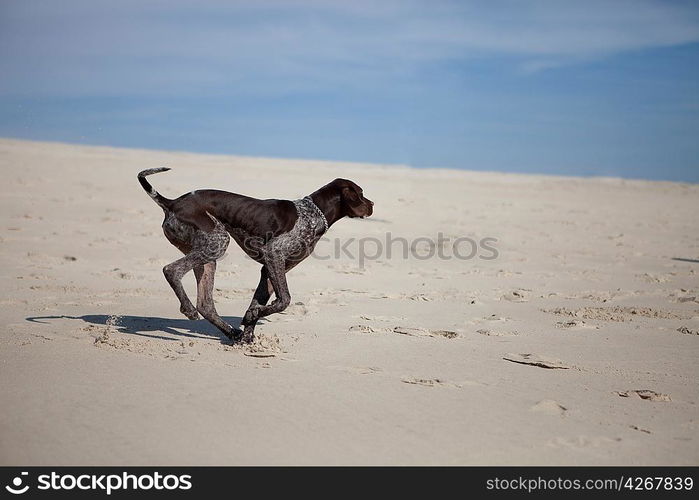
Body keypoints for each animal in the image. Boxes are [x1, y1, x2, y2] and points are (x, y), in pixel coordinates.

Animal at [139, 168, 374, 344]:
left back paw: (231, 332)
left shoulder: (271, 267)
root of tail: (172, 203)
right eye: (361, 193)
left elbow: (258, 303)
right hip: (217, 243)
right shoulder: (274, 255)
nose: (372, 205)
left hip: (208, 254)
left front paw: (248, 333)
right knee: (171, 270)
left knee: (205, 304)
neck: (314, 213)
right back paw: (188, 309)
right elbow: (285, 300)